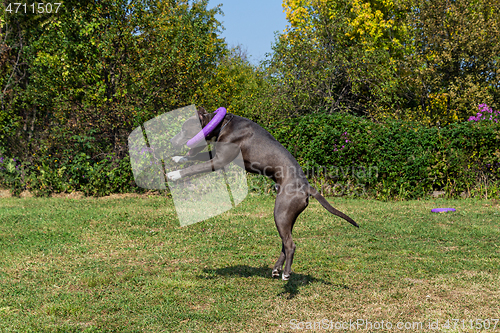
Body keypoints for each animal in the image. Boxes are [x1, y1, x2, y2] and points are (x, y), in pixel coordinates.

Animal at [170, 106, 358, 280]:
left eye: (184, 129)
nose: (172, 140)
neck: (223, 124)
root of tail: (306, 187)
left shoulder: (219, 160)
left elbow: (194, 168)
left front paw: (174, 174)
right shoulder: (214, 154)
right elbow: (195, 157)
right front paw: (178, 158)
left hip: (281, 212)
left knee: (290, 244)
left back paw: (286, 273)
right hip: (287, 216)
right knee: (284, 242)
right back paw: (276, 269)